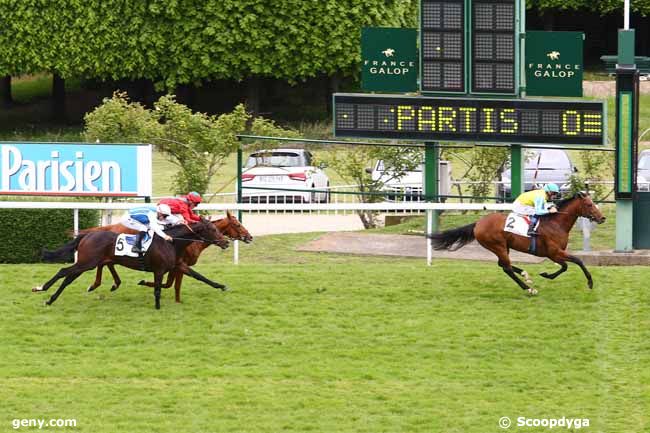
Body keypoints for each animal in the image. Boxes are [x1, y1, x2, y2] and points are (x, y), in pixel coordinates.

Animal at [34, 221, 230, 308]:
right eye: (213, 229)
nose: (226, 242)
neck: (171, 242)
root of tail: (87, 235)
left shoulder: (178, 265)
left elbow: (200, 276)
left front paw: (221, 286)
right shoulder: (159, 270)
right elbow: (157, 290)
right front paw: (157, 307)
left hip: (87, 263)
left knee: (68, 278)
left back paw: (51, 298)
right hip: (87, 262)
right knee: (63, 271)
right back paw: (41, 288)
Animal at [428, 192, 604, 294]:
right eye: (589, 204)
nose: (602, 218)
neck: (556, 223)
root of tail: (478, 223)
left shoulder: (554, 254)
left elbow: (565, 266)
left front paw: (546, 274)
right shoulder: (554, 252)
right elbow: (577, 261)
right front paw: (590, 282)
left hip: (504, 246)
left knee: (503, 265)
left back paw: (526, 276)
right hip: (497, 245)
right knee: (506, 267)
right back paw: (528, 288)